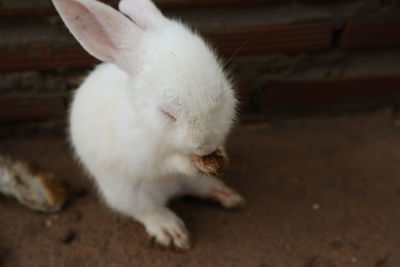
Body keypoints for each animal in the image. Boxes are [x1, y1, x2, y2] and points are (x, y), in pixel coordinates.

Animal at [52, 0, 244, 250]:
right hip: (128, 194)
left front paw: (221, 154)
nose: (204, 146)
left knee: (194, 187)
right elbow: (165, 162)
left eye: (221, 93)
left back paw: (225, 194)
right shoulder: (141, 153)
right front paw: (189, 163)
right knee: (145, 210)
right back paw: (171, 230)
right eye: (167, 113)